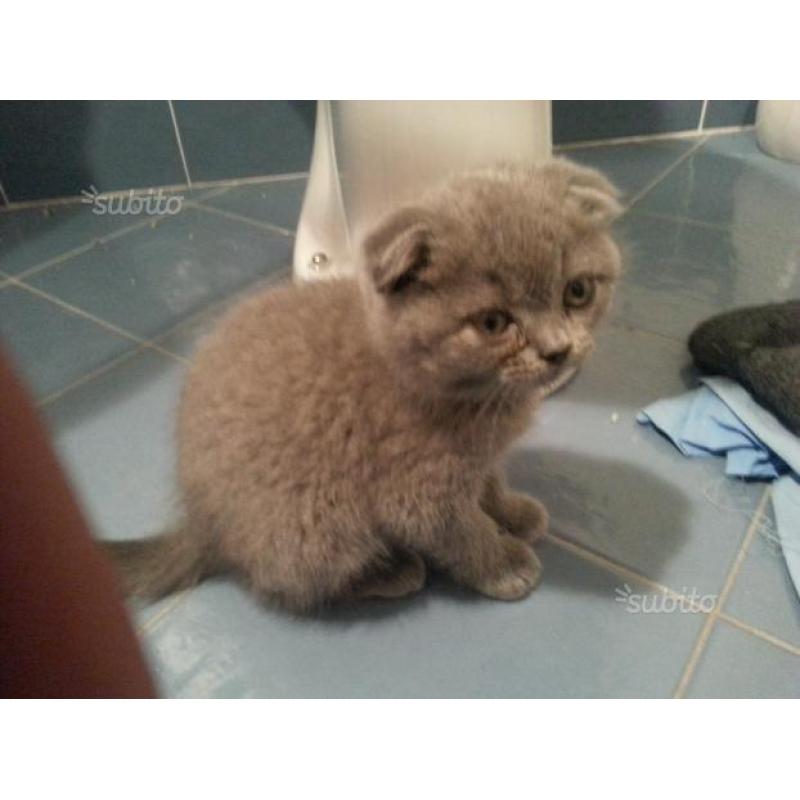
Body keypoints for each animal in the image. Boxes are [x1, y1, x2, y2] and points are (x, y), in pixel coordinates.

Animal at [106, 161, 620, 612]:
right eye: (493, 323)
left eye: (577, 291)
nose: (558, 350)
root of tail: (201, 523)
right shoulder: (418, 491)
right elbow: (463, 531)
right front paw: (503, 562)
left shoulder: (477, 458)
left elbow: (489, 483)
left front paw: (512, 512)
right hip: (315, 523)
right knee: (287, 583)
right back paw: (393, 570)